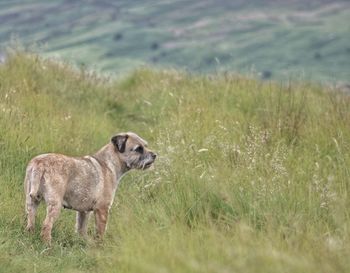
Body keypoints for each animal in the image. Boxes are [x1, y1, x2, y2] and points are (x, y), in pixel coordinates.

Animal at [24, 131, 156, 242]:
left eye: (145, 145)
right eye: (138, 149)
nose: (154, 155)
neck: (109, 163)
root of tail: (39, 164)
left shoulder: (83, 212)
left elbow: (81, 228)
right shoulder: (102, 209)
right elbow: (100, 231)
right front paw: (100, 245)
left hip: (31, 203)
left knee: (30, 222)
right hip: (55, 205)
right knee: (46, 226)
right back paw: (48, 244)